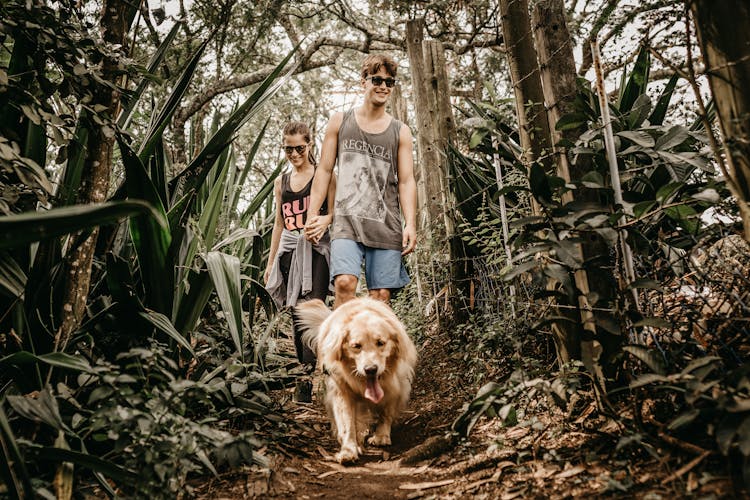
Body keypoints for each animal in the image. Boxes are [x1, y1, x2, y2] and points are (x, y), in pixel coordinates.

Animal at [296, 296, 420, 464]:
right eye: (356, 346)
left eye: (380, 343)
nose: (370, 369)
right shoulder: (341, 390)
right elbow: (347, 423)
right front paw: (348, 449)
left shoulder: (397, 385)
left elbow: (386, 412)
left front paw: (381, 435)